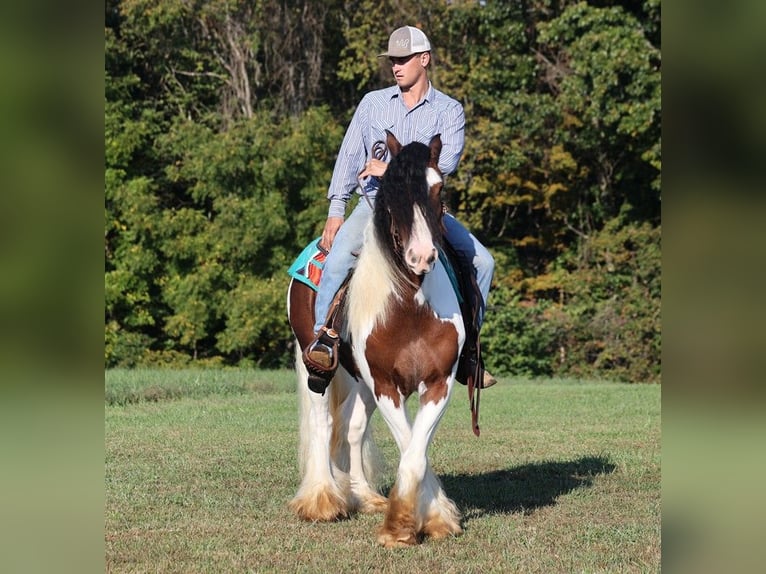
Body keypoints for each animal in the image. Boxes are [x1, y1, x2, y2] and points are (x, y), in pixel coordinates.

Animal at [286, 132, 464, 548]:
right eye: (392, 191)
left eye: (438, 187)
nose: (422, 256)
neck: (410, 308)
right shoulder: (385, 385)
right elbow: (410, 447)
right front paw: (402, 527)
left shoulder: (439, 384)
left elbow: (416, 449)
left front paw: (434, 517)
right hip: (315, 368)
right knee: (323, 424)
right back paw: (323, 500)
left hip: (358, 381)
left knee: (351, 428)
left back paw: (364, 495)